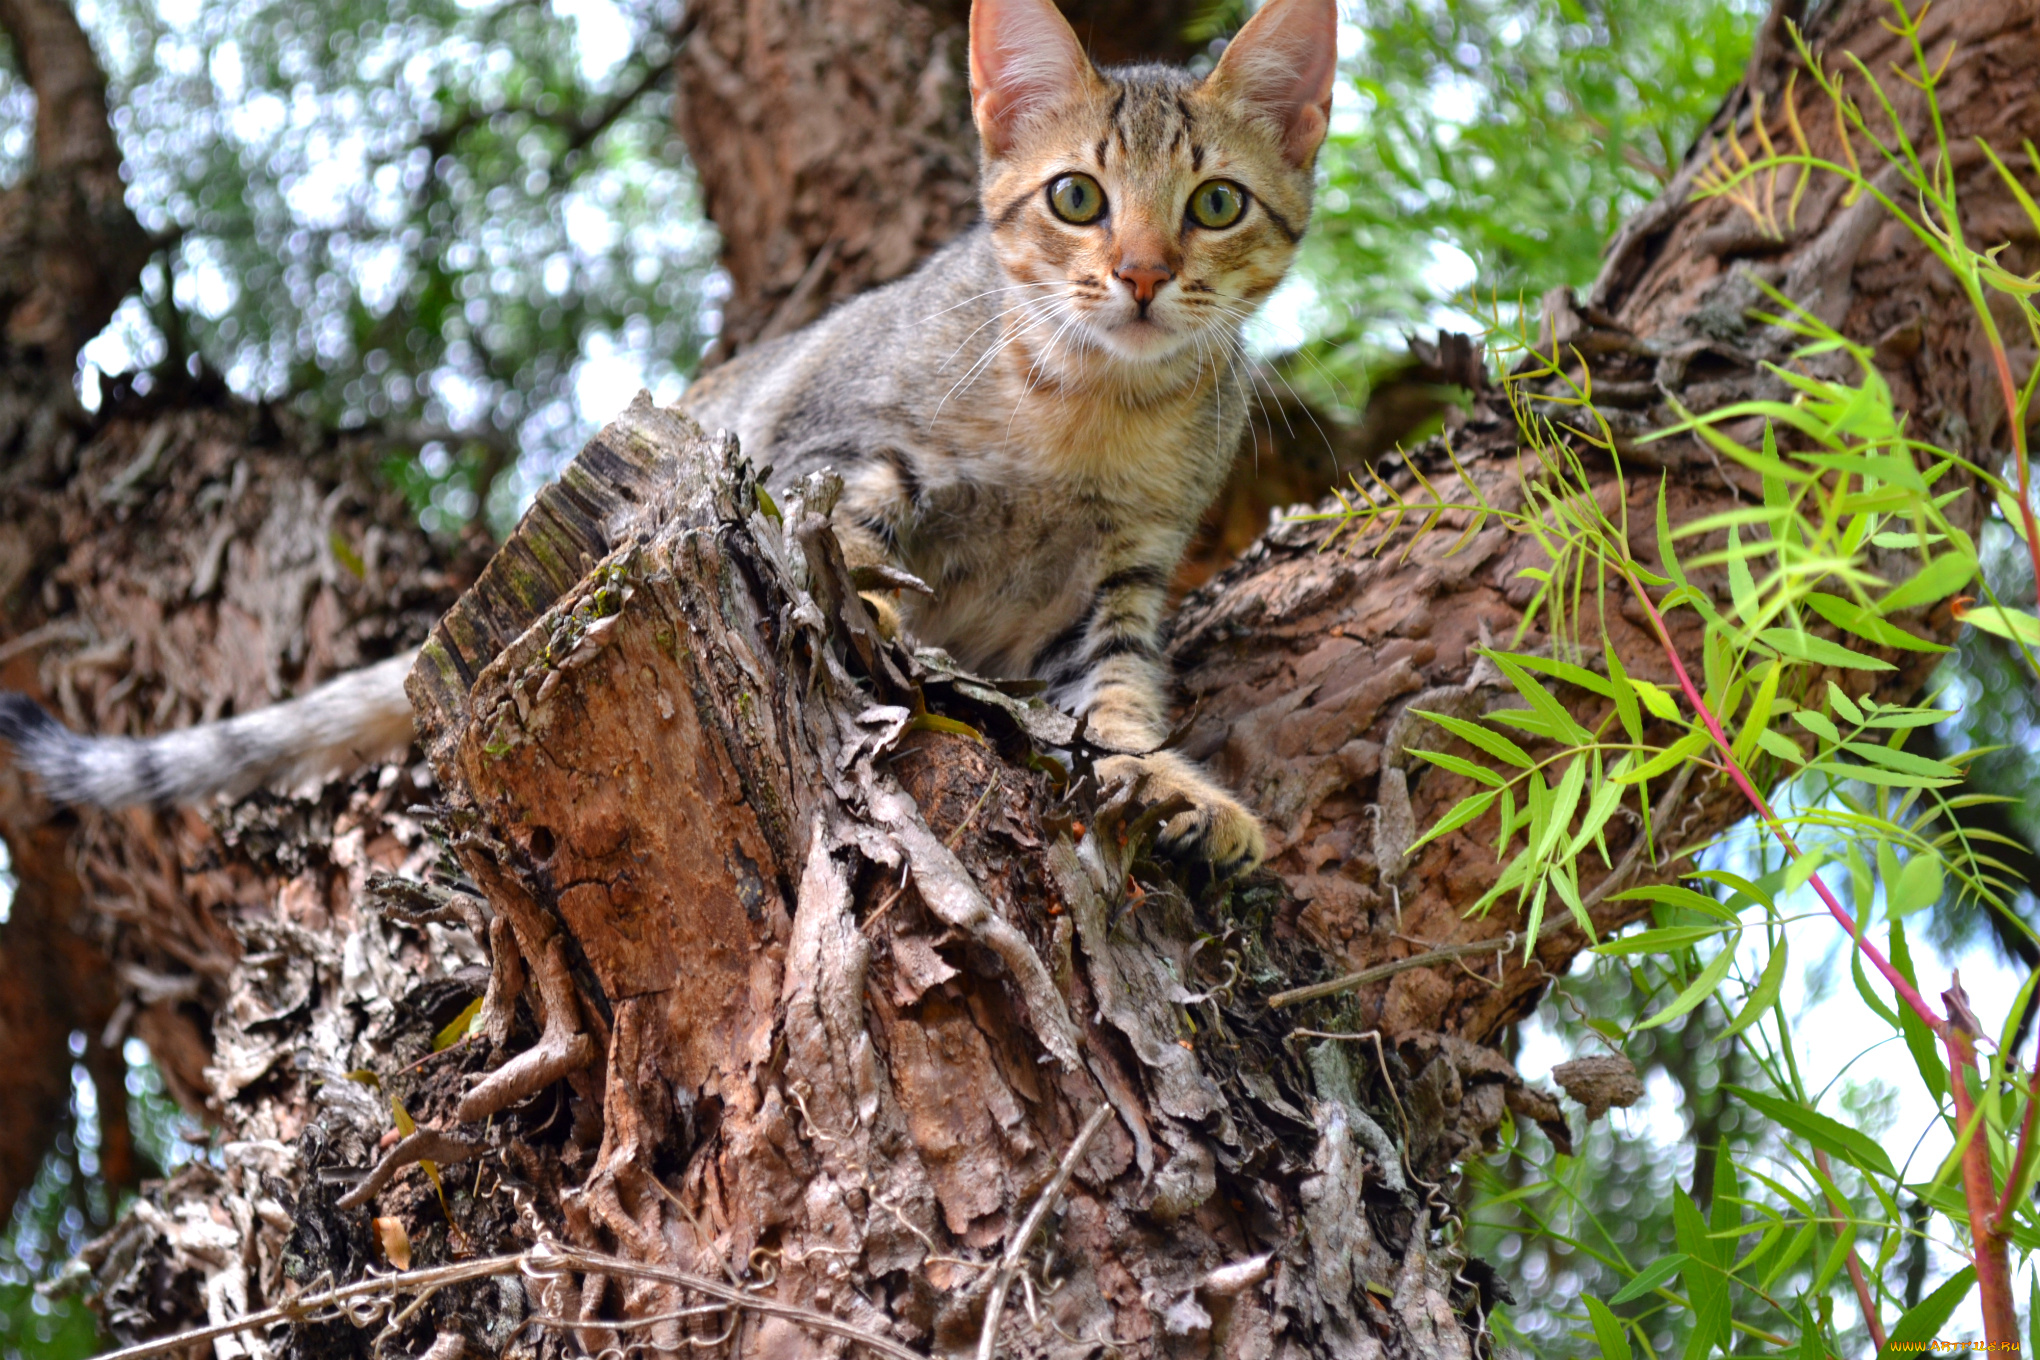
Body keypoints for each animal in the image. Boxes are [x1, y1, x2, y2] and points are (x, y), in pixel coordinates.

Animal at [0, 0, 1338, 872]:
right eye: (1076, 196)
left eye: (1216, 203)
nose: (1143, 275)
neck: (1090, 415)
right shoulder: (820, 440)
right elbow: (852, 515)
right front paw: (872, 596)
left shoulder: (1121, 577)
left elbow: (1112, 692)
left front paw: (1162, 779)